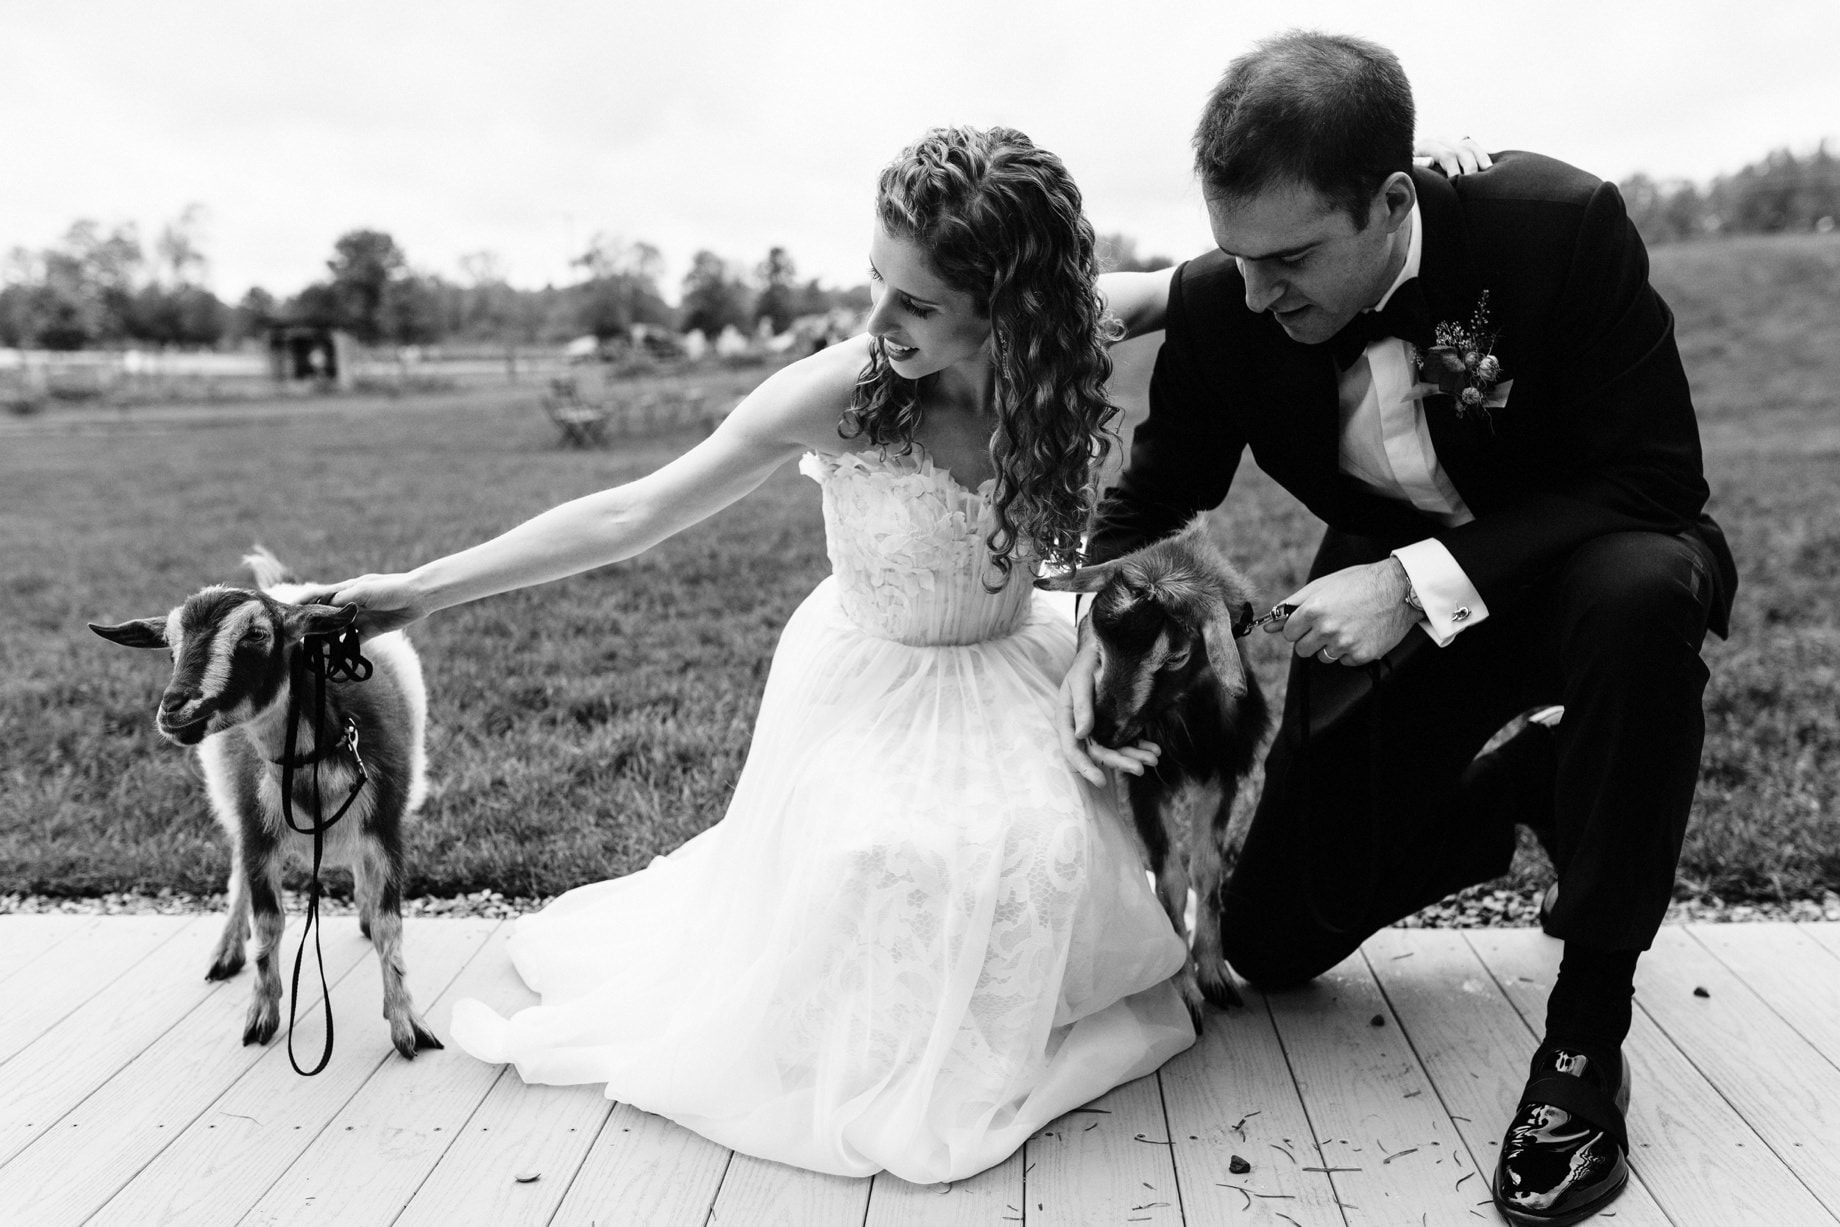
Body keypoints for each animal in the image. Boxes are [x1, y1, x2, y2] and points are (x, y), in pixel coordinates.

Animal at [90, 551, 441, 1059]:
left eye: (256, 635)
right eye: (170, 648)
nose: (174, 709)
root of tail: (293, 586)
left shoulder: (387, 830)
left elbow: (390, 926)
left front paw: (408, 1025)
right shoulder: (258, 833)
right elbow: (269, 923)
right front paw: (262, 1016)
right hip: (233, 807)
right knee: (237, 870)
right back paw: (225, 952)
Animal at [1045, 515, 1273, 1030]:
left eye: (1176, 656)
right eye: (1097, 637)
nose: (1103, 733)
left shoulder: (1221, 775)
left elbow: (1206, 871)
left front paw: (1214, 974)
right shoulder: (1147, 784)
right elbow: (1169, 880)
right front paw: (1184, 990)